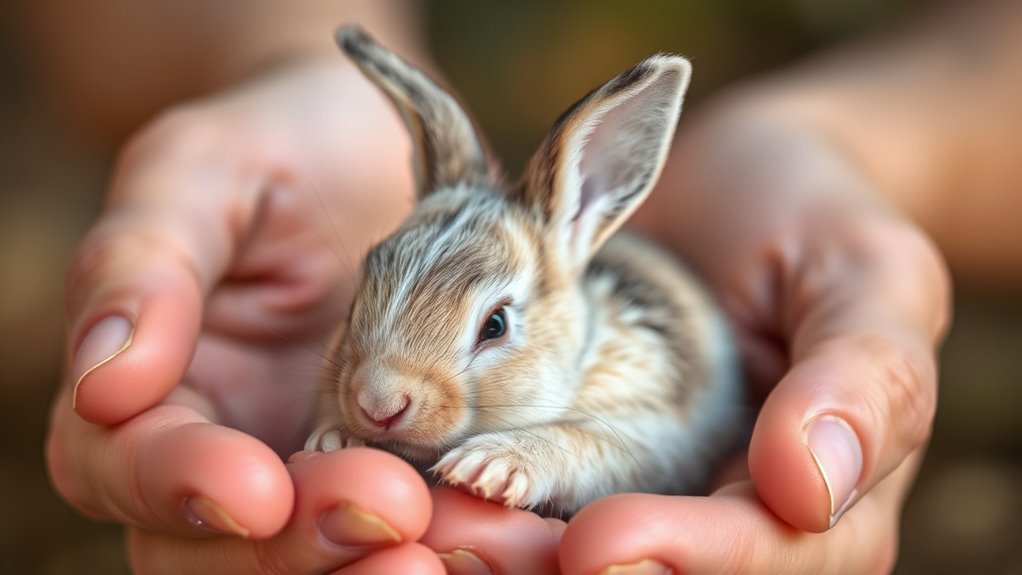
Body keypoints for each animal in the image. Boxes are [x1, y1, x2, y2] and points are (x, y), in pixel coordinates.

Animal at [305, 24, 745, 518]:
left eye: (495, 325)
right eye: (353, 306)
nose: (378, 404)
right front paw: (334, 441)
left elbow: (576, 441)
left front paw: (491, 465)